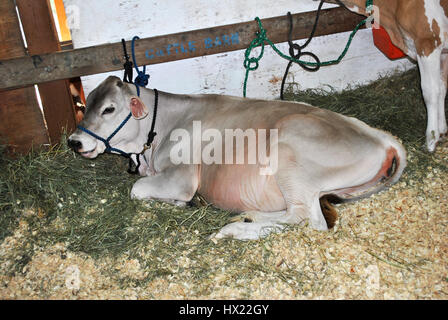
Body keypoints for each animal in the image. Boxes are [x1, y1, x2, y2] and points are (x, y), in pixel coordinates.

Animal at [326, 0, 448, 152]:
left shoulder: (428, 44)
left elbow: (430, 93)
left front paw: (431, 140)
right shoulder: (442, 52)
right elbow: (442, 88)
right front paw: (442, 130)